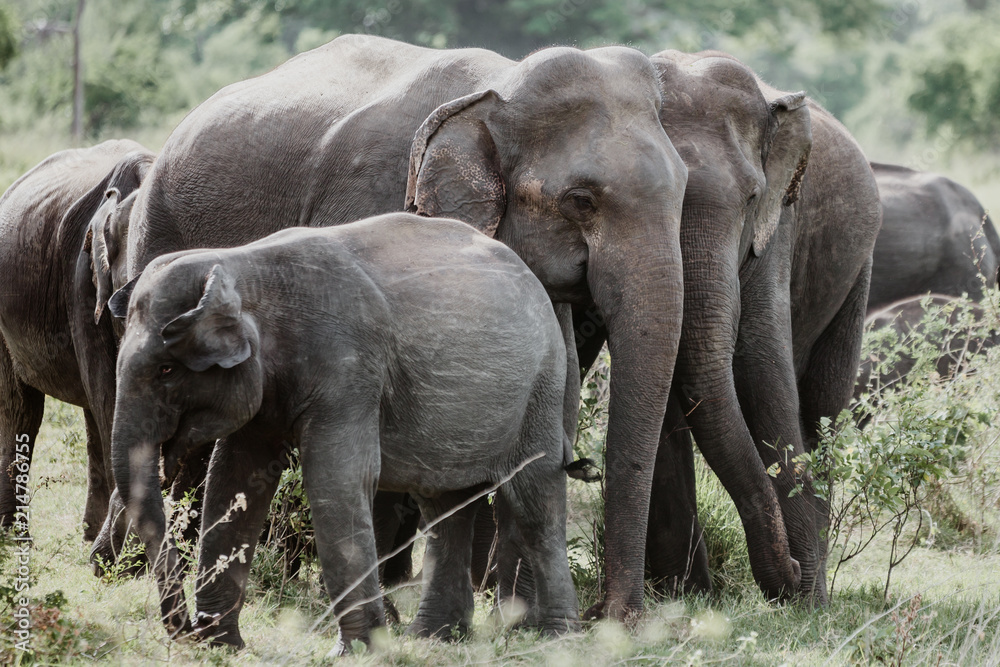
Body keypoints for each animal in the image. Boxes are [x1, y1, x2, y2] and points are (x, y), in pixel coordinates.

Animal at [108, 213, 580, 648]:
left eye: (166, 370)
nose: (188, 627)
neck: (242, 266)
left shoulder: (348, 368)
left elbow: (336, 479)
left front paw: (359, 649)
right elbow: (234, 479)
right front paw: (219, 645)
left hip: (541, 386)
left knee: (534, 499)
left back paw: (555, 637)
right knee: (444, 508)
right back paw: (435, 638)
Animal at [590, 51, 879, 603]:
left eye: (751, 198)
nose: (791, 569)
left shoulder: (779, 222)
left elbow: (759, 364)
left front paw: (807, 602)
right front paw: (689, 599)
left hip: (859, 269)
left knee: (823, 404)